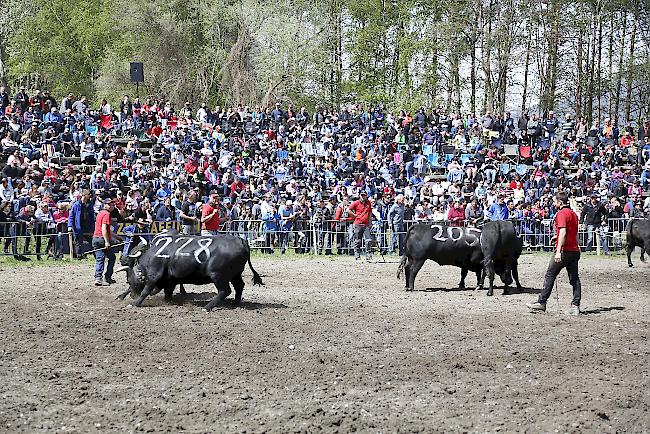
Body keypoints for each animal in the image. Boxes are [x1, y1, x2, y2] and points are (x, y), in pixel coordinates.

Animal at [114, 232, 264, 310]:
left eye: (128, 280)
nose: (132, 295)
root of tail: (240, 240)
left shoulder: (154, 275)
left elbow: (146, 290)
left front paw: (135, 303)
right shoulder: (171, 279)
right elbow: (168, 292)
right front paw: (169, 302)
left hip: (218, 276)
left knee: (225, 291)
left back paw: (208, 307)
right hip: (235, 275)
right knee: (239, 286)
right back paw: (236, 303)